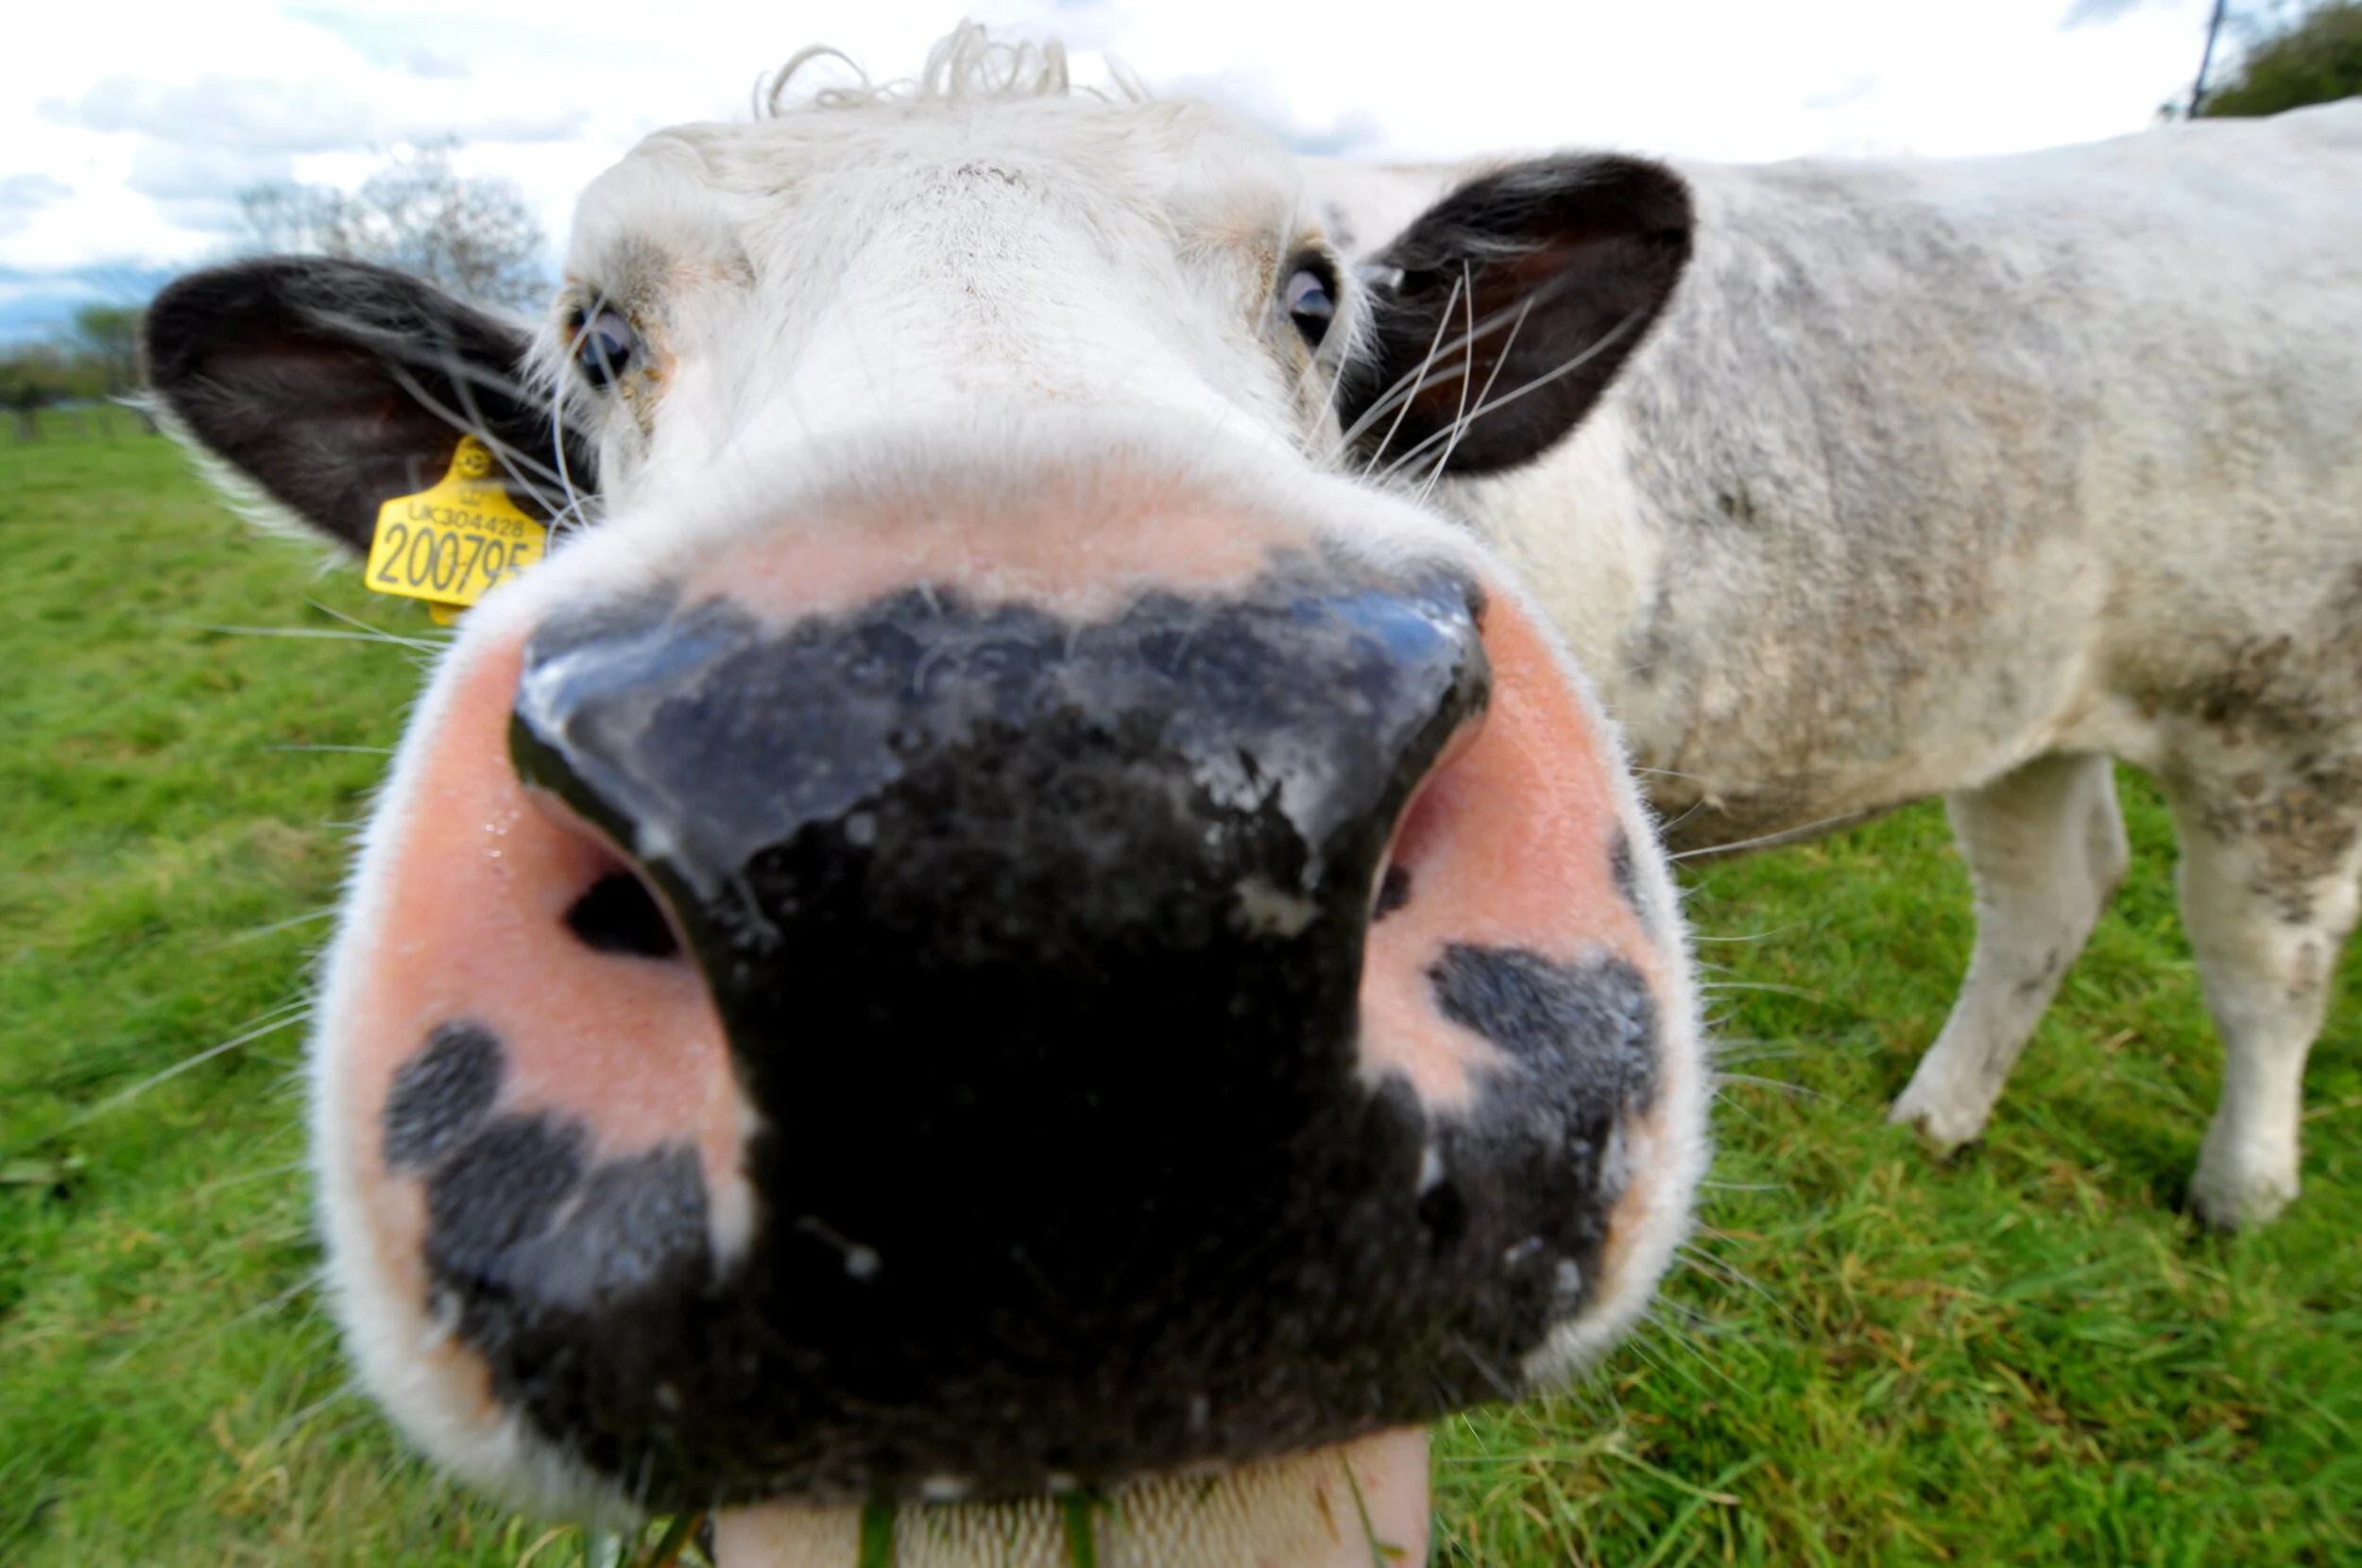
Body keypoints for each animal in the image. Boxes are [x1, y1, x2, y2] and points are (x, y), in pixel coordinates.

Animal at [1310, 96, 2362, 1235]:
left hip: (2278, 721)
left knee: (2265, 962)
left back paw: (2240, 1195)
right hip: (2020, 697)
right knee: (2056, 890)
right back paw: (1939, 1117)